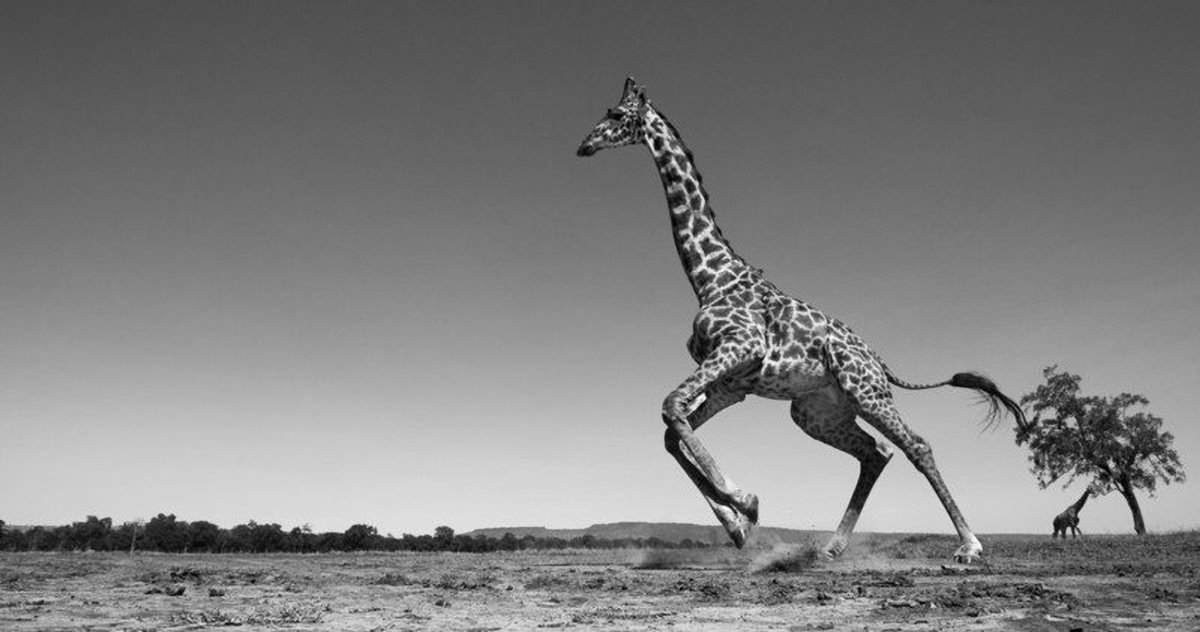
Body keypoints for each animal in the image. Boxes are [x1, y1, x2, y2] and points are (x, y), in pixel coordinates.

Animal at [576, 78, 1029, 562]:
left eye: (616, 114)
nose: (585, 145)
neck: (709, 276)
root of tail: (880, 361)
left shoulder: (740, 349)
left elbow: (670, 409)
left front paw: (746, 503)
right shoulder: (731, 385)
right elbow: (670, 433)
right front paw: (740, 523)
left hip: (865, 391)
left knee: (916, 445)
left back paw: (970, 545)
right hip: (815, 410)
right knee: (876, 453)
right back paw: (832, 547)